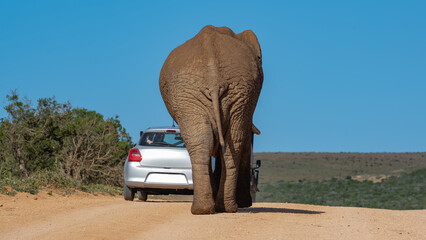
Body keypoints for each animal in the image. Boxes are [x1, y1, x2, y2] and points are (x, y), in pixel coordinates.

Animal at [158, 25, 262, 215]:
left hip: (233, 92)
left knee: (212, 142)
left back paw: (211, 209)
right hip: (200, 94)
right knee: (221, 142)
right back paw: (214, 208)